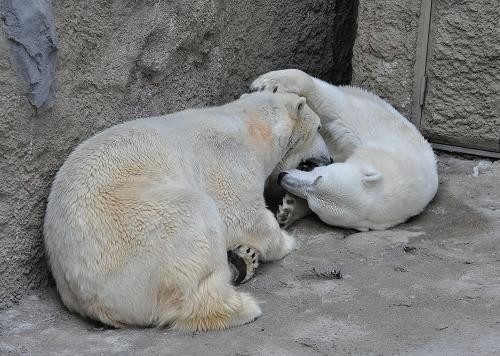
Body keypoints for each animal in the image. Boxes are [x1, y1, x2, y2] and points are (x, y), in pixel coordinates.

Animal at [43, 91, 326, 330]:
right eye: (320, 128)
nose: (330, 158)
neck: (253, 128)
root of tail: (92, 298)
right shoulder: (228, 159)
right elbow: (241, 214)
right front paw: (286, 241)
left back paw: (242, 260)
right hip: (140, 229)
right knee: (194, 226)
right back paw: (244, 306)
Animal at [250, 69, 438, 231]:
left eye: (314, 206)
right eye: (319, 178)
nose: (283, 177)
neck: (390, 156)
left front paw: (288, 210)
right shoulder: (376, 127)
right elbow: (333, 106)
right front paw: (267, 82)